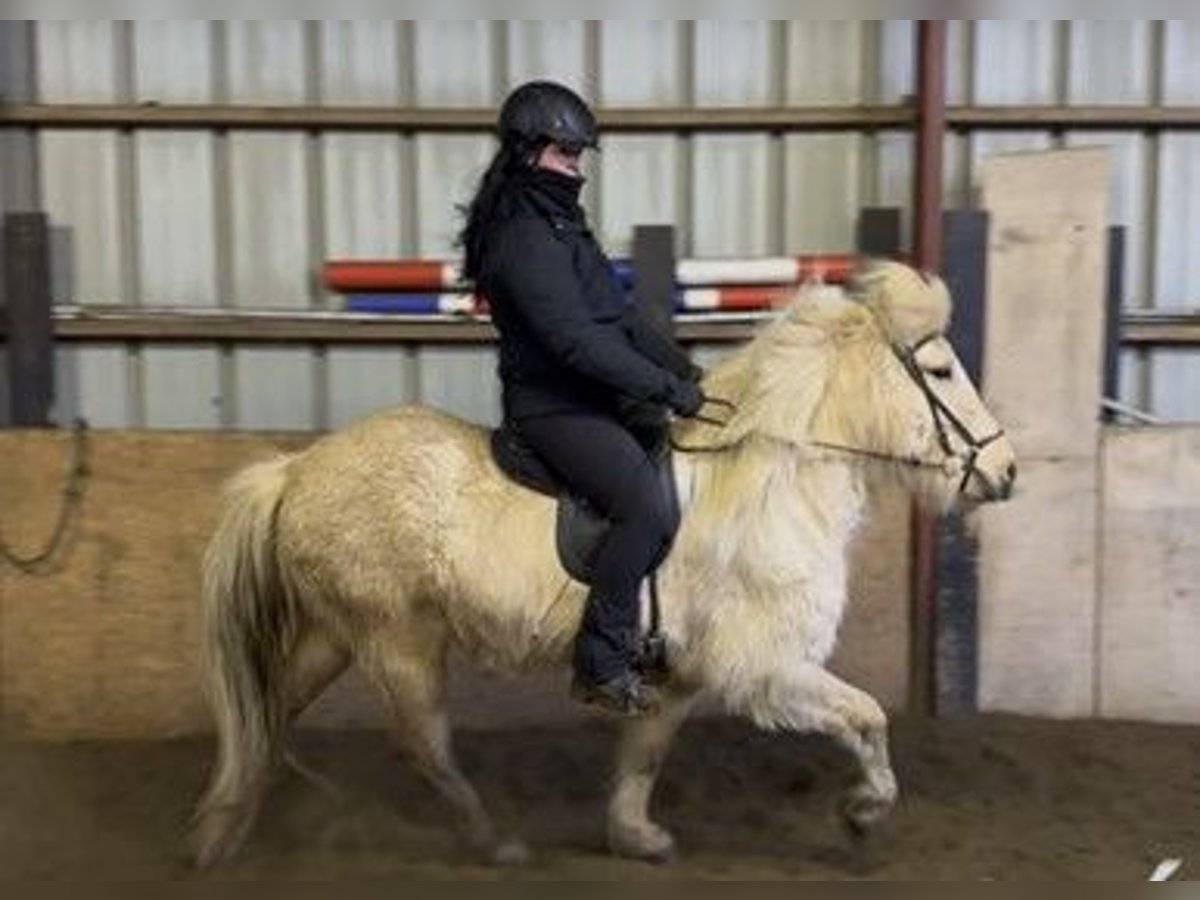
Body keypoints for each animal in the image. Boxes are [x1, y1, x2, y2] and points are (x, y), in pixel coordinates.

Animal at [192, 260, 1017, 868]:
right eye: (942, 371)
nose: (1005, 472)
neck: (768, 479)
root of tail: (295, 469)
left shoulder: (680, 674)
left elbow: (645, 755)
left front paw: (636, 837)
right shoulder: (769, 668)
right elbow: (868, 716)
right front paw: (864, 813)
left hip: (337, 635)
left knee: (269, 709)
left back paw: (221, 829)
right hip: (397, 642)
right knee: (423, 746)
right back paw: (495, 843)